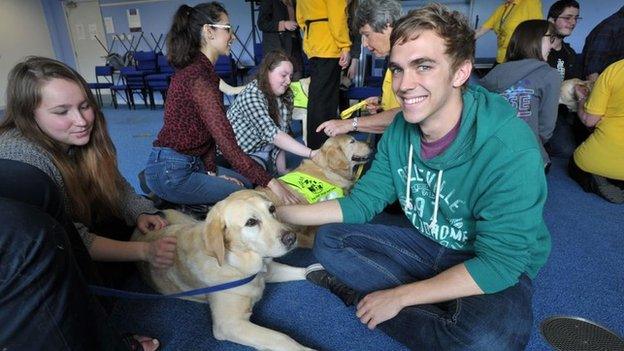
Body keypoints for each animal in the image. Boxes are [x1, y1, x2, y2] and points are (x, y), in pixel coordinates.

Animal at [133, 190, 314, 351]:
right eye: (251, 222)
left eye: (272, 209)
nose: (291, 238)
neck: (237, 264)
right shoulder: (229, 324)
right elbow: (281, 338)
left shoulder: (267, 271)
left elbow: (303, 271)